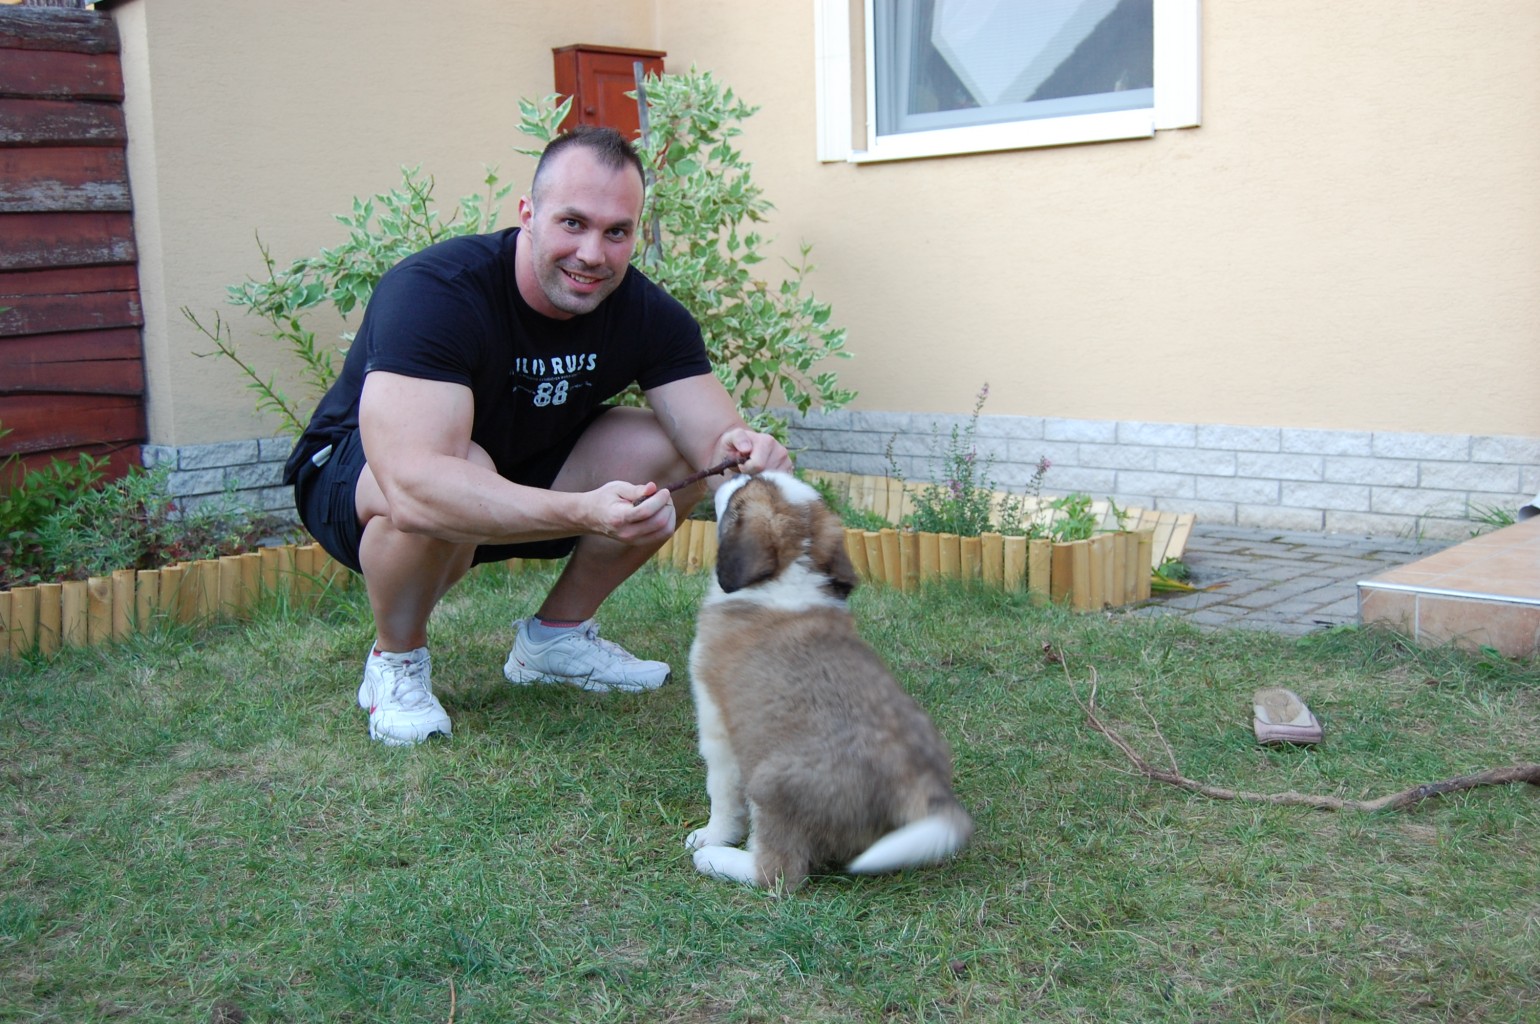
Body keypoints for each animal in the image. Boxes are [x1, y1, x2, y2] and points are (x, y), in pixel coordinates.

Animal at [684, 471, 973, 890]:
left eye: (743, 490)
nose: (738, 470)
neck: (788, 576)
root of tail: (919, 784)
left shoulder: (718, 727)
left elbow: (722, 796)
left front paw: (711, 835)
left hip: (769, 783)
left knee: (779, 872)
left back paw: (717, 860)